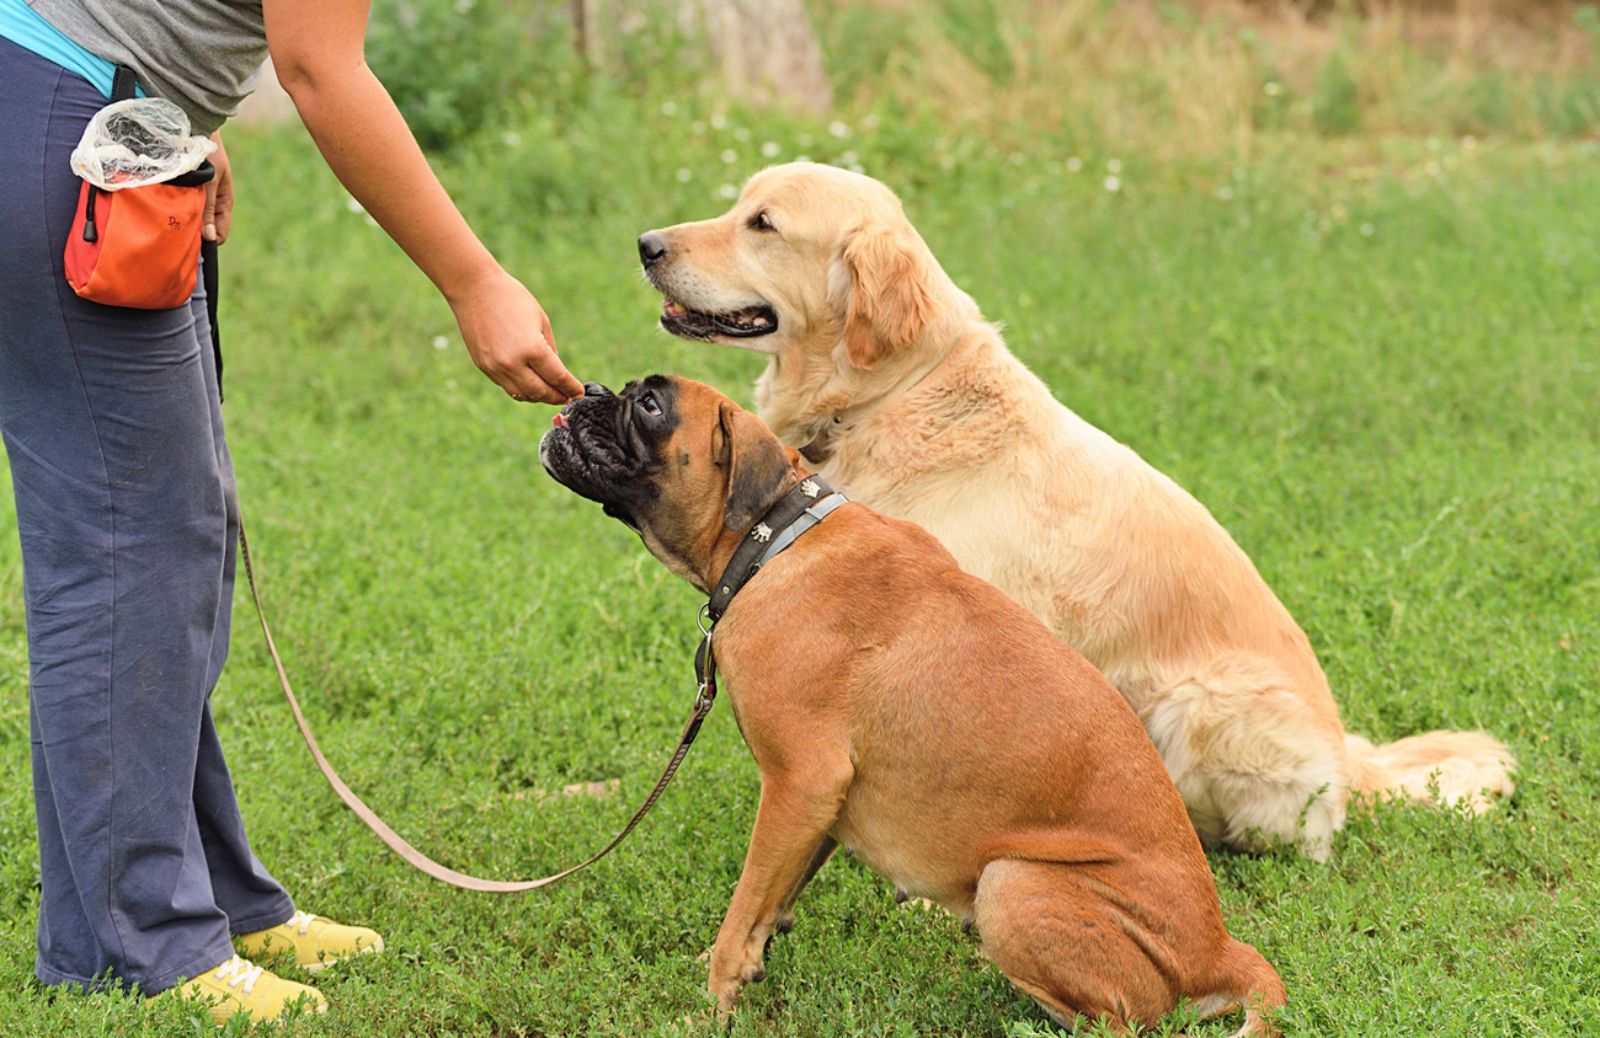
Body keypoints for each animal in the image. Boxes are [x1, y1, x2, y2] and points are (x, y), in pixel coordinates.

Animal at [544, 375, 1280, 1030]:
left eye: (649, 404)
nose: (588, 392)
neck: (775, 537)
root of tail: (1218, 950)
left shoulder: (799, 782)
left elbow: (744, 904)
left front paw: (712, 1004)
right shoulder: (817, 805)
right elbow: (769, 903)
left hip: (1013, 883)